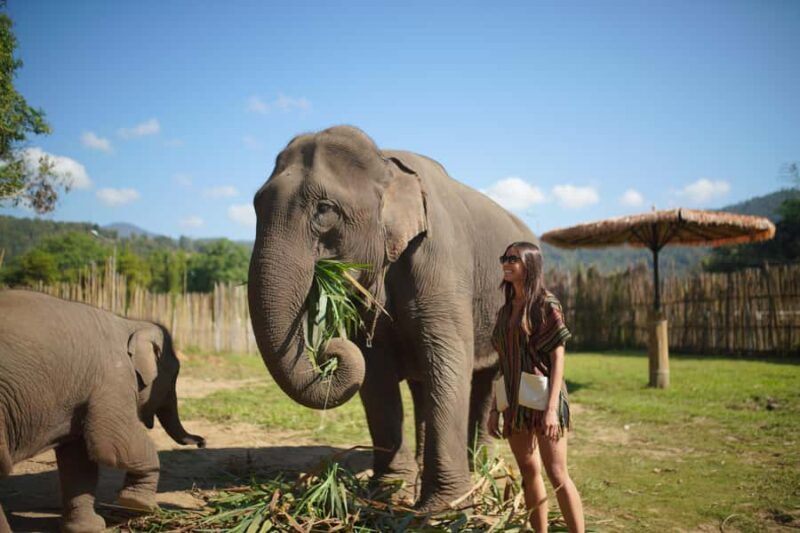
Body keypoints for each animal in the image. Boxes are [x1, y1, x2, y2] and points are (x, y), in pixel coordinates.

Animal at [0, 289, 205, 533]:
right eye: (175, 373)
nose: (202, 442)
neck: (129, 322)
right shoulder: (113, 377)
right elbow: (114, 444)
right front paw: (140, 505)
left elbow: (79, 460)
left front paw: (89, 528)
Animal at [247, 125, 536, 510]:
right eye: (256, 205)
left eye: (325, 209)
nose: (327, 350)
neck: (387, 166)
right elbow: (374, 368)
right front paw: (389, 492)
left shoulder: (441, 257)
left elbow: (448, 359)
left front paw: (443, 509)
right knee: (424, 384)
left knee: (488, 379)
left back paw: (484, 470)